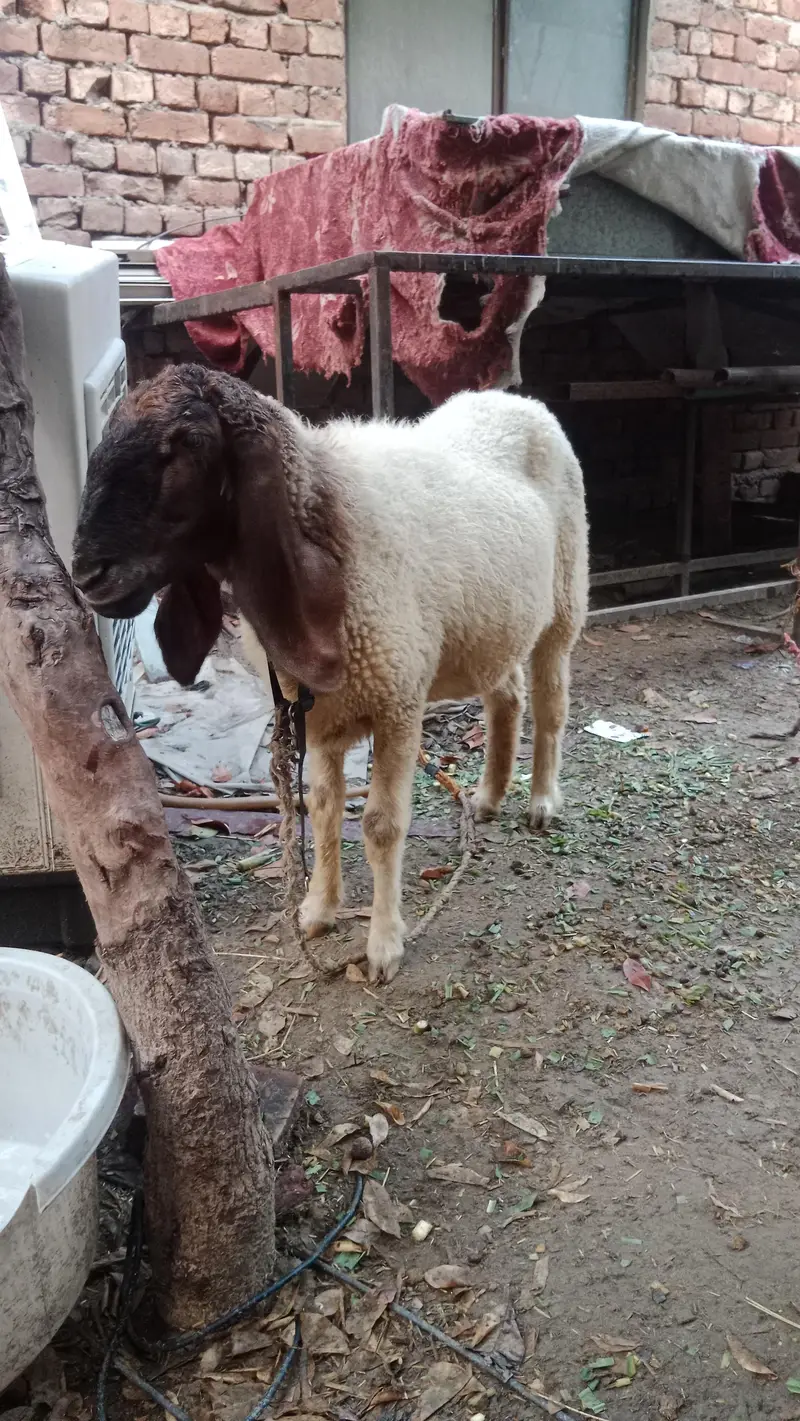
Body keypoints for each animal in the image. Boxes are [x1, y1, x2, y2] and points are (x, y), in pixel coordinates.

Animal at [72, 364, 589, 983]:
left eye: (188, 444)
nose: (86, 574)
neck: (332, 514)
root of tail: (512, 401)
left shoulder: (397, 703)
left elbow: (382, 824)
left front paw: (384, 944)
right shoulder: (315, 712)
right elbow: (320, 807)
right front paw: (319, 908)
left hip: (565, 600)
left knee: (551, 706)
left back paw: (542, 801)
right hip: (490, 625)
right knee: (505, 696)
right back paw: (488, 796)